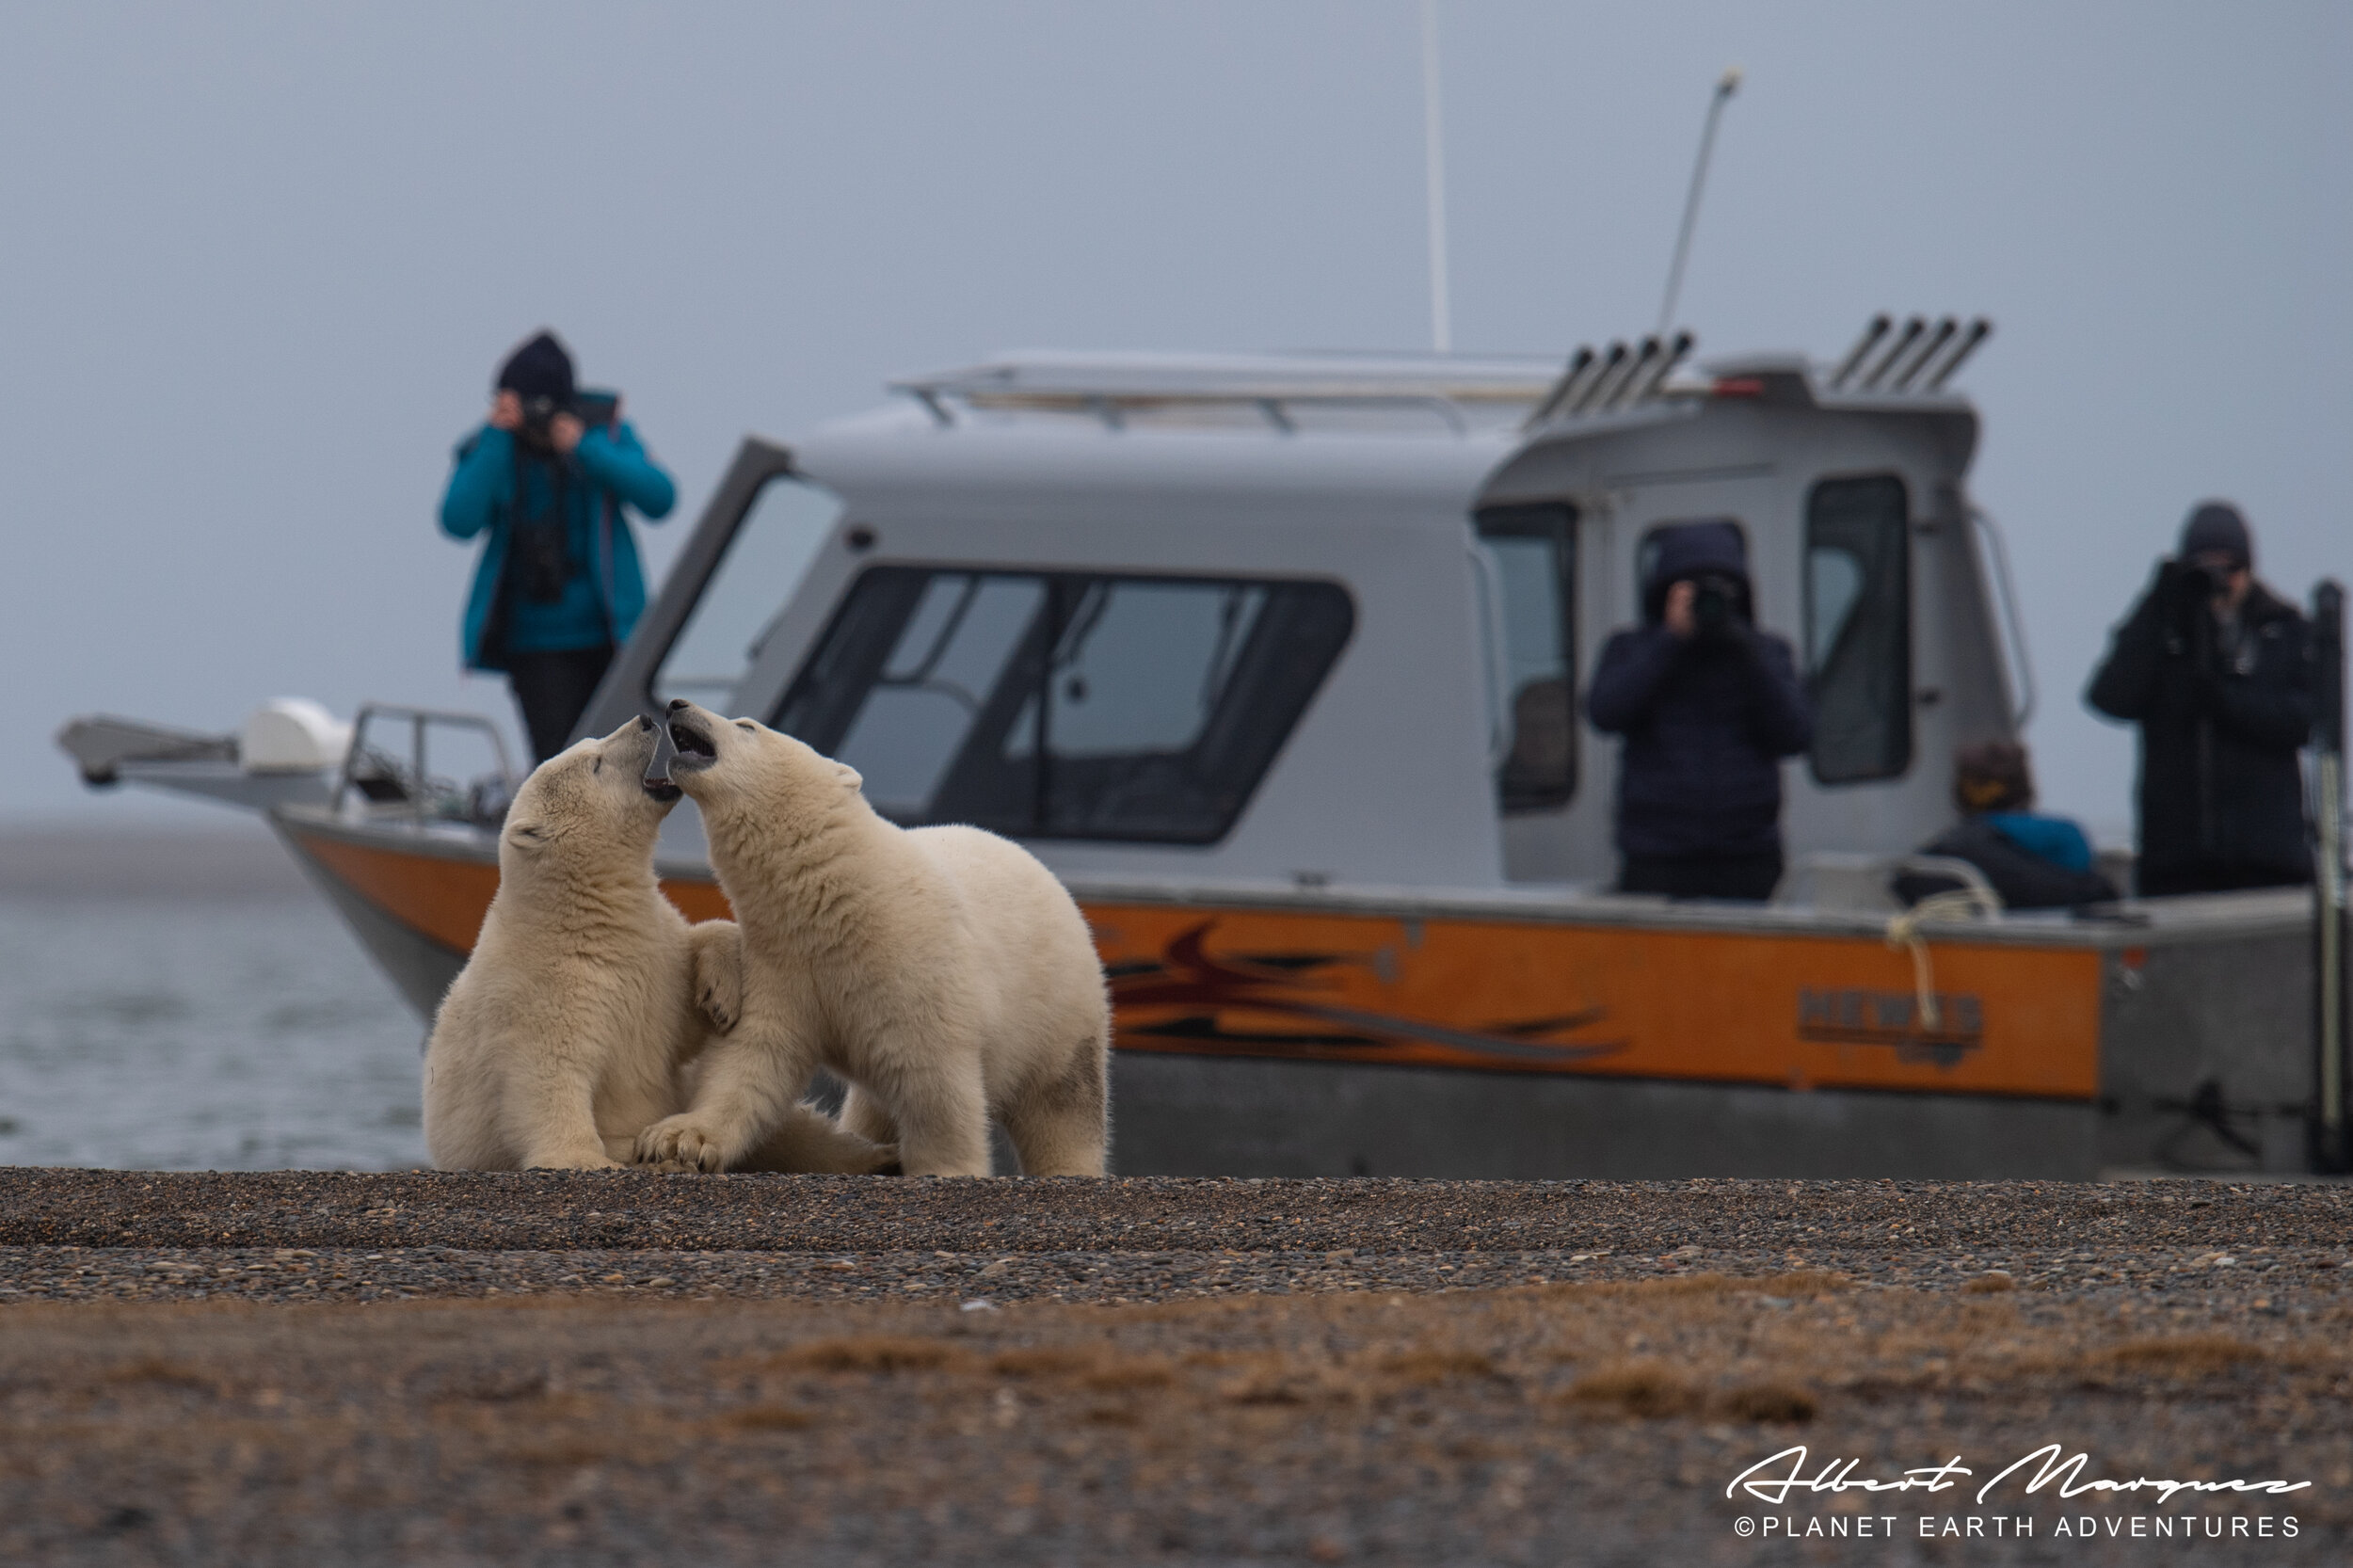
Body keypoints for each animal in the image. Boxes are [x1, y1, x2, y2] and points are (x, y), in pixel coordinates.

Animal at [424, 715, 899, 1167]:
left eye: (592, 743)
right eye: (596, 763)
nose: (645, 721)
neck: (584, 916)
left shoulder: (654, 953)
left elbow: (684, 1006)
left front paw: (720, 997)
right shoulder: (542, 989)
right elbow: (547, 1074)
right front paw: (586, 1158)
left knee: (795, 1131)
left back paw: (878, 1155)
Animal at [635, 696, 1111, 1172]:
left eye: (747, 725)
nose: (677, 703)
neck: (839, 895)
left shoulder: (914, 966)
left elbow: (935, 1082)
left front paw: (944, 1167)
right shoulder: (781, 964)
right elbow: (752, 1056)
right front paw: (678, 1139)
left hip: (1058, 1012)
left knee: (1061, 1107)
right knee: (872, 1108)